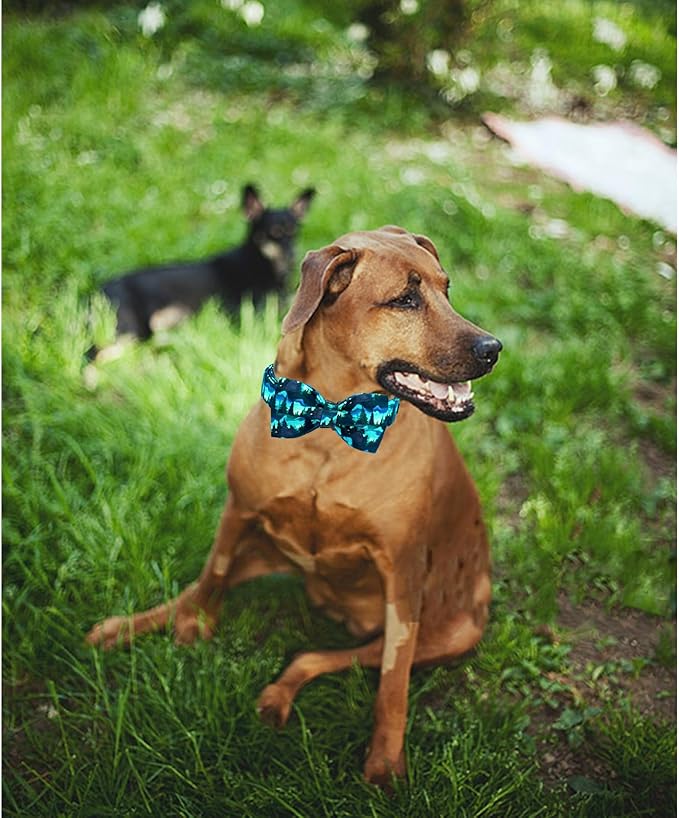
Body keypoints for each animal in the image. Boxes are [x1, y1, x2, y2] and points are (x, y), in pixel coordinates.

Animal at [86, 226, 502, 787]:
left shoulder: (403, 573)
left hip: (448, 631)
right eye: (405, 300)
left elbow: (393, 682)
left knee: (320, 655)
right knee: (202, 585)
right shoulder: (238, 511)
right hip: (264, 550)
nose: (493, 348)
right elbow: (211, 576)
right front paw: (194, 626)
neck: (329, 424)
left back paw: (281, 692)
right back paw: (123, 628)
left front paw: (385, 761)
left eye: (447, 288)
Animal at [92, 184, 315, 352]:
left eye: (294, 233)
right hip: (129, 329)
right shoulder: (252, 309)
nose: (292, 256)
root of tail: (98, 291)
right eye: (273, 233)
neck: (260, 261)